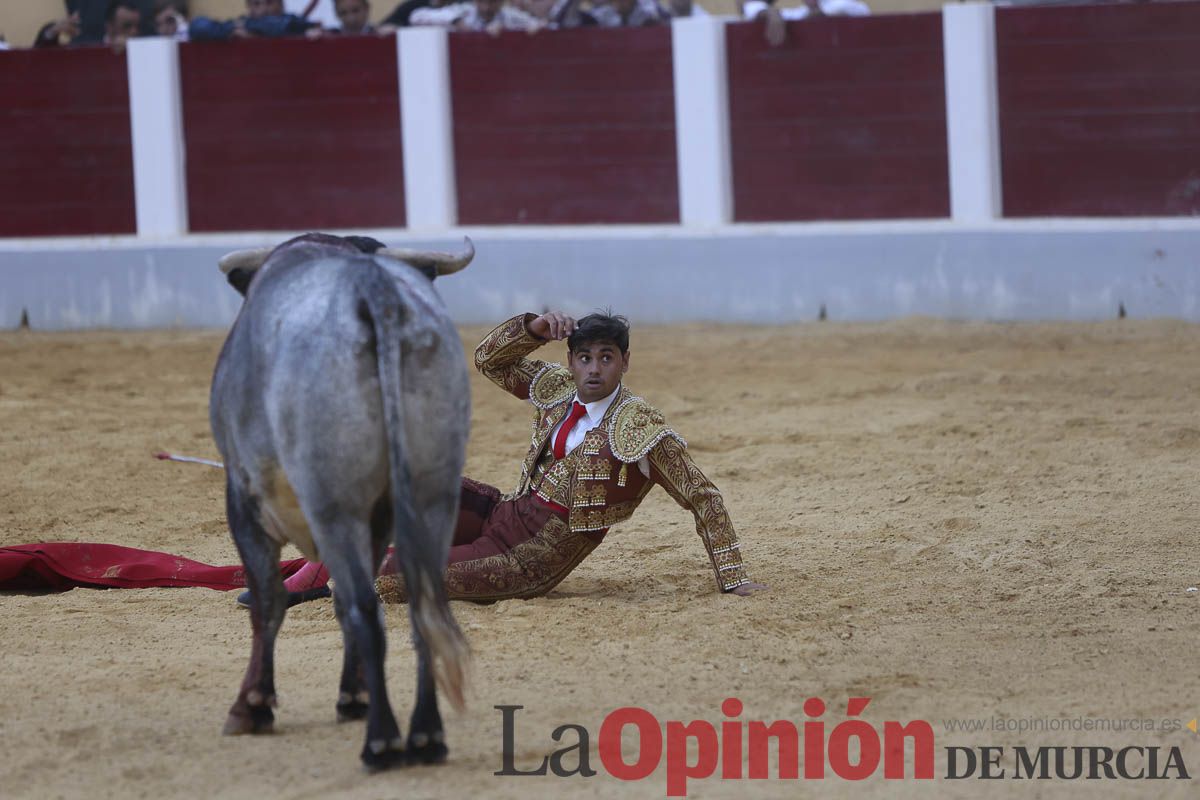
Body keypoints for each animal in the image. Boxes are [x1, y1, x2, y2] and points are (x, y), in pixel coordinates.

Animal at [208, 231, 470, 767]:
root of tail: (373, 288)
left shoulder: (244, 502)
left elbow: (270, 601)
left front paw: (252, 705)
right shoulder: (381, 517)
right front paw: (354, 693)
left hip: (333, 506)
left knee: (364, 609)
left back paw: (383, 741)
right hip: (434, 496)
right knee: (420, 607)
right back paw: (426, 735)